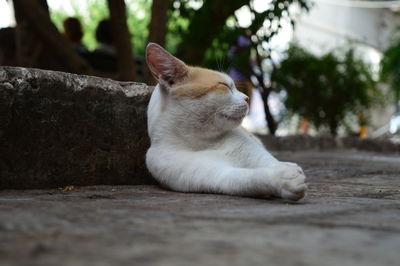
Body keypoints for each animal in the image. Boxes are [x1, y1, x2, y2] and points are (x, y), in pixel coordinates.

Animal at [145, 43, 308, 202]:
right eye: (224, 85)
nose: (247, 98)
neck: (204, 141)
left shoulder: (253, 152)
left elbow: (271, 162)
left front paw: (287, 169)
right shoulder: (218, 175)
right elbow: (249, 178)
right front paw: (283, 178)